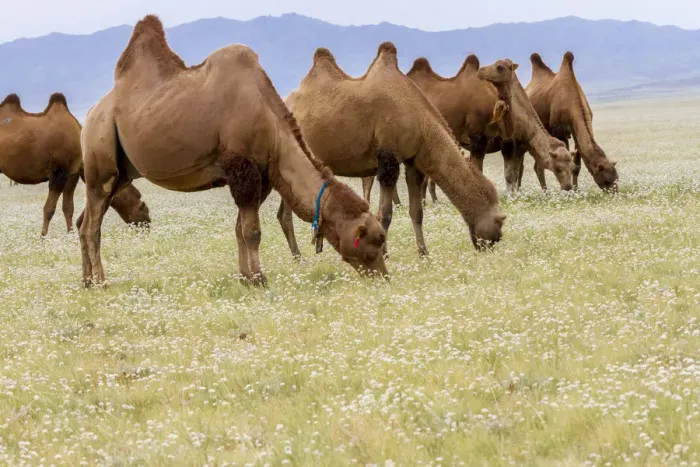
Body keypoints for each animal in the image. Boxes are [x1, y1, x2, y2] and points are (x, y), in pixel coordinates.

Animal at [0, 93, 151, 236]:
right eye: (144, 209)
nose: (148, 225)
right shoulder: (60, 171)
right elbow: (49, 209)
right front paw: (43, 237)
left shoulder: (73, 174)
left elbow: (68, 207)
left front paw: (70, 234)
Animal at [78, 15, 387, 288]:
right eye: (371, 243)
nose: (384, 276)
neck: (272, 126)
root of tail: (91, 113)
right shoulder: (243, 167)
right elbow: (252, 232)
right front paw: (260, 279)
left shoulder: (261, 176)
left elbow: (240, 229)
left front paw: (245, 278)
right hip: (99, 154)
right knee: (92, 226)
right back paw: (102, 281)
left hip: (122, 173)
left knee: (85, 222)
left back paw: (86, 281)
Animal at [277, 43, 507, 260]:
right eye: (499, 221)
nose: (493, 243)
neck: (421, 122)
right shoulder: (388, 157)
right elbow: (385, 214)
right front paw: (385, 254)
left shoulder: (412, 161)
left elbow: (416, 211)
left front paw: (424, 253)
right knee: (285, 215)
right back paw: (298, 258)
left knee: (283, 213)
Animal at [525, 52, 618, 190]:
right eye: (606, 180)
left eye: (616, 177)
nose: (615, 192)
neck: (572, 98)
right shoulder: (559, 131)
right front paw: (569, 191)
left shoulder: (575, 131)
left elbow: (577, 165)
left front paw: (576, 190)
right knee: (537, 166)